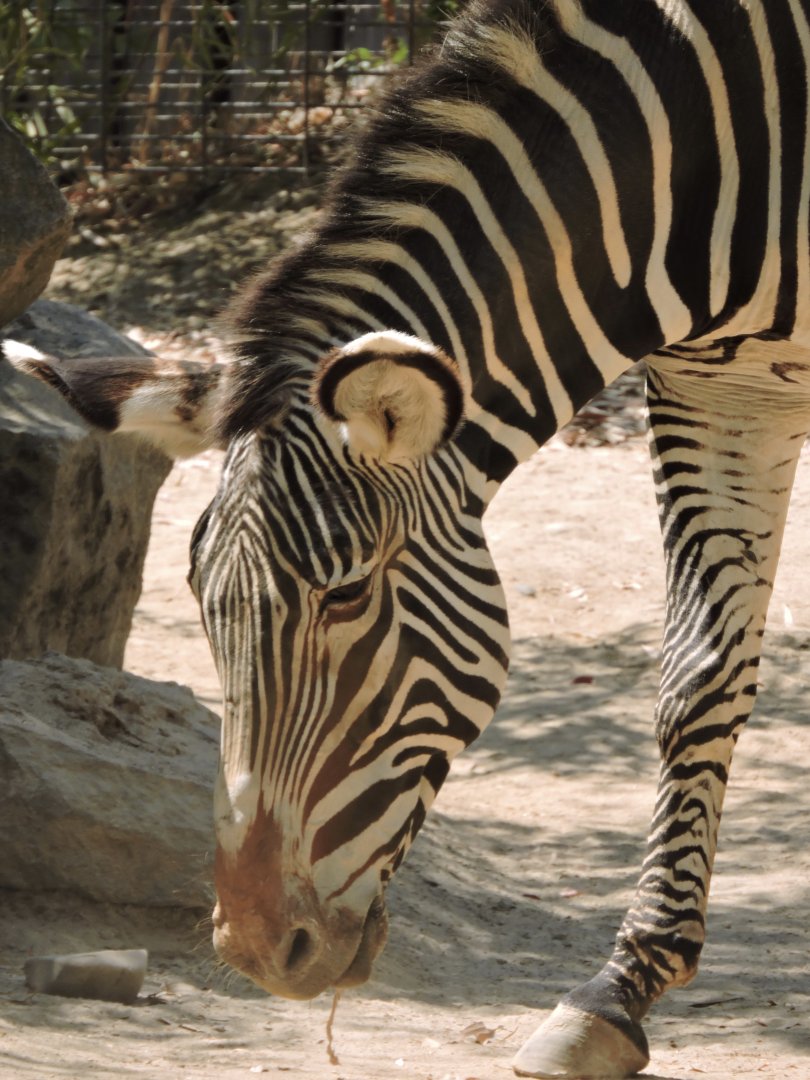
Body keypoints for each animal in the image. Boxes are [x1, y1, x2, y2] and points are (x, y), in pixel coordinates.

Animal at [8, 0, 810, 1075]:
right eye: (201, 606)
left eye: (346, 595)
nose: (257, 950)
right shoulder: (722, 388)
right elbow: (698, 681)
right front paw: (614, 993)